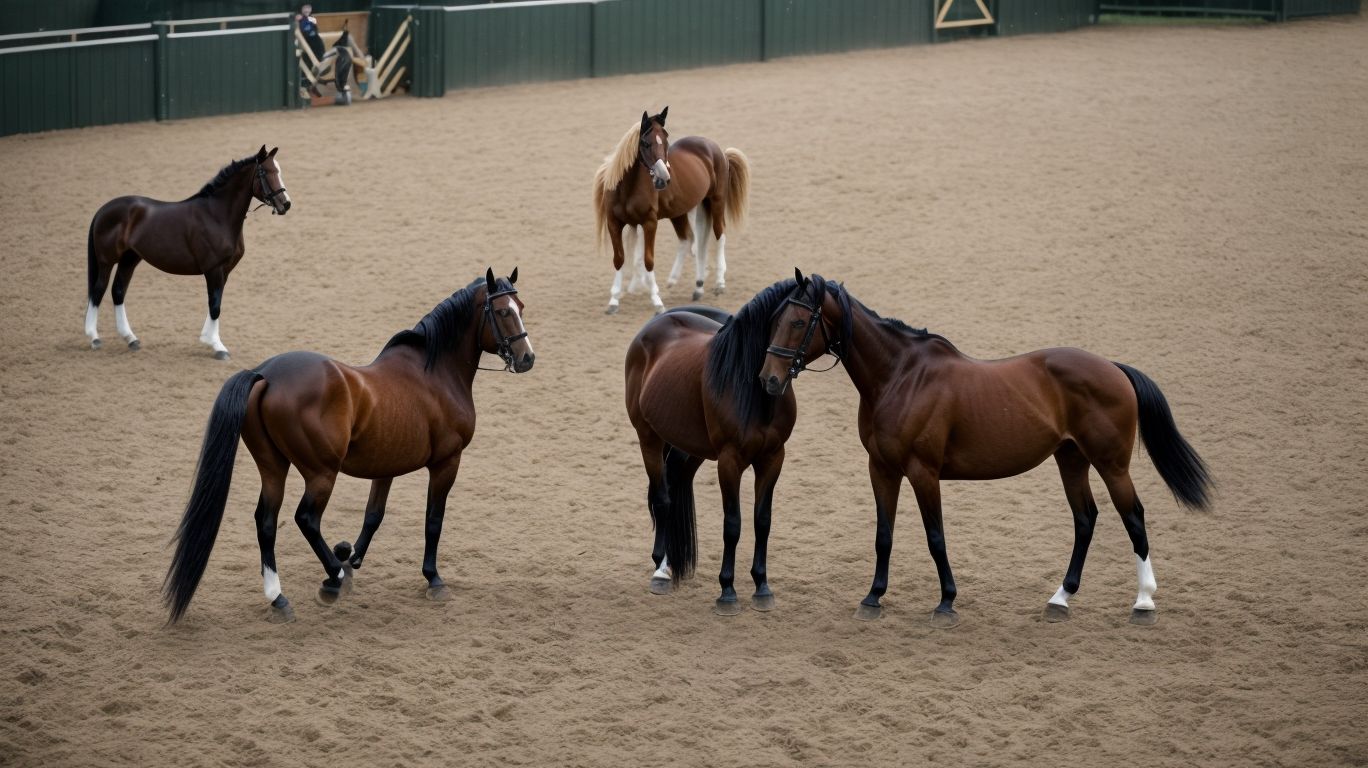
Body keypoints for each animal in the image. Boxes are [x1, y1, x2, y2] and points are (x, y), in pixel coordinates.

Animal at [85, 145, 291, 360]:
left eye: (278, 171)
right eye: (265, 172)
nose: (285, 204)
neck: (216, 215)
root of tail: (103, 210)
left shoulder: (224, 271)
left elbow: (215, 303)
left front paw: (208, 339)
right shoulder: (213, 270)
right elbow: (215, 305)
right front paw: (218, 347)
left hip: (130, 259)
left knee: (118, 291)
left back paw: (130, 338)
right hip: (106, 261)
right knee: (98, 291)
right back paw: (94, 338)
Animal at [163, 269, 534, 623]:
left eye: (521, 307)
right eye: (503, 311)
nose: (527, 358)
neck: (435, 375)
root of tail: (265, 374)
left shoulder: (387, 467)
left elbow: (373, 516)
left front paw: (351, 557)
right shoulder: (447, 462)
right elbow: (433, 520)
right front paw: (432, 578)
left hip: (273, 466)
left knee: (266, 522)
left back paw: (280, 597)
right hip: (321, 473)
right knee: (306, 519)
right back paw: (333, 579)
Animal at [594, 107, 750, 315]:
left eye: (666, 139)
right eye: (645, 143)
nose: (663, 178)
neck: (627, 189)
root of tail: (716, 149)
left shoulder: (649, 223)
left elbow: (648, 260)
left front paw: (657, 301)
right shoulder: (615, 223)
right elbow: (620, 259)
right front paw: (614, 301)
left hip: (716, 201)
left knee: (719, 236)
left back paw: (719, 283)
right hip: (685, 210)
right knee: (692, 241)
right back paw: (696, 285)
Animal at [625, 284, 802, 615]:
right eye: (793, 321)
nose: (774, 379)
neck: (754, 392)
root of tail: (655, 324)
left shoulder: (773, 458)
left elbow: (762, 520)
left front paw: (762, 587)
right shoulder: (729, 461)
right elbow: (732, 524)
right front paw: (727, 591)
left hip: (691, 447)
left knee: (676, 481)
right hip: (649, 437)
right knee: (663, 498)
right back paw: (662, 569)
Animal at [760, 270, 1212, 627]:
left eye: (798, 321)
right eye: (775, 318)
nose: (767, 380)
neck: (901, 377)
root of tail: (1114, 369)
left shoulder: (923, 472)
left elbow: (935, 537)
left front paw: (946, 602)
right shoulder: (882, 468)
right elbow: (883, 535)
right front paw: (873, 598)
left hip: (1111, 464)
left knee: (1133, 517)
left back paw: (1144, 602)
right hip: (1071, 459)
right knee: (1085, 519)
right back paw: (1060, 598)